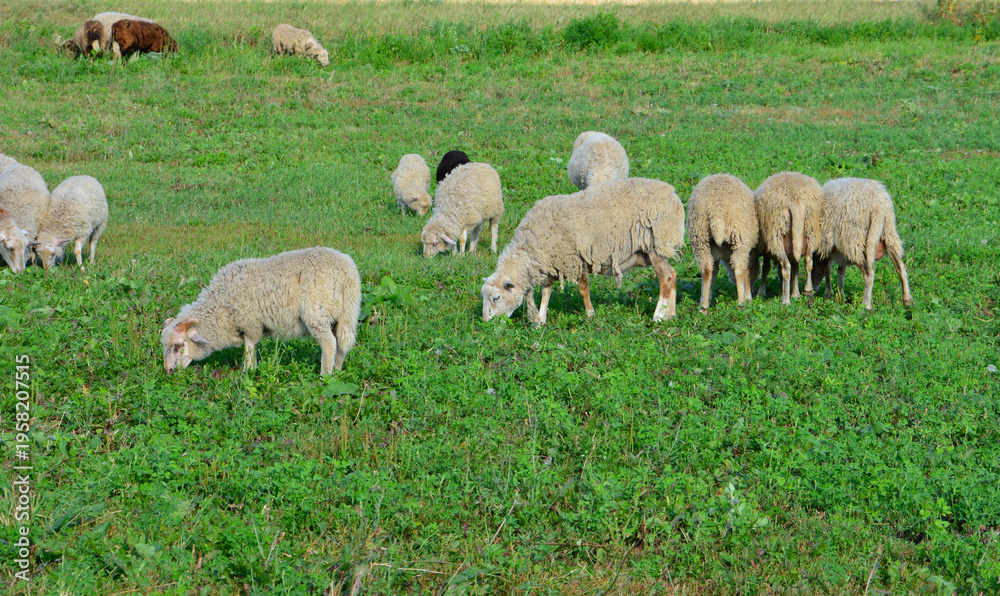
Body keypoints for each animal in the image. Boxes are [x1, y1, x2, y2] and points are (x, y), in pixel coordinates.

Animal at [160, 247, 360, 375]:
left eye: (178, 345)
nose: (168, 370)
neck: (220, 305)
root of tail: (347, 272)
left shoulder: (250, 322)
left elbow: (249, 347)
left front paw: (248, 372)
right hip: (346, 313)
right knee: (342, 343)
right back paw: (337, 371)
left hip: (317, 314)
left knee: (329, 344)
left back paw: (324, 376)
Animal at [481, 177, 685, 325]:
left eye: (496, 298)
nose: (486, 323)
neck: (531, 244)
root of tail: (673, 195)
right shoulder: (552, 262)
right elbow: (547, 291)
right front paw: (540, 319)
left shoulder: (575, 259)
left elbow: (583, 289)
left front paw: (589, 314)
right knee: (673, 275)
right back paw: (670, 315)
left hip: (655, 244)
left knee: (666, 278)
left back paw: (658, 316)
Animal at [686, 173, 759, 311]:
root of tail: (716, 209)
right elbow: (746, 271)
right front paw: (748, 298)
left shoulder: (715, 253)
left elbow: (714, 271)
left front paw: (707, 298)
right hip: (739, 236)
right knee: (739, 268)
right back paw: (741, 303)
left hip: (699, 236)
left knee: (706, 269)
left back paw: (703, 307)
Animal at [753, 172, 824, 304]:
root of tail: (796, 199)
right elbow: (796, 267)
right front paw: (796, 294)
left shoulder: (766, 249)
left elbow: (766, 268)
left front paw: (761, 292)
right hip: (810, 230)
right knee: (808, 261)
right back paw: (808, 291)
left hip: (776, 235)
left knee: (786, 267)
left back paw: (785, 300)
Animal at [812, 177, 913, 310]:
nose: (811, 291)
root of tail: (877, 207)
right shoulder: (841, 251)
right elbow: (840, 272)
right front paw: (841, 296)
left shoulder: (827, 248)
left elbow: (828, 270)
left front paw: (828, 294)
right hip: (888, 234)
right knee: (900, 267)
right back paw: (907, 300)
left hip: (855, 242)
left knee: (869, 274)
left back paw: (866, 305)